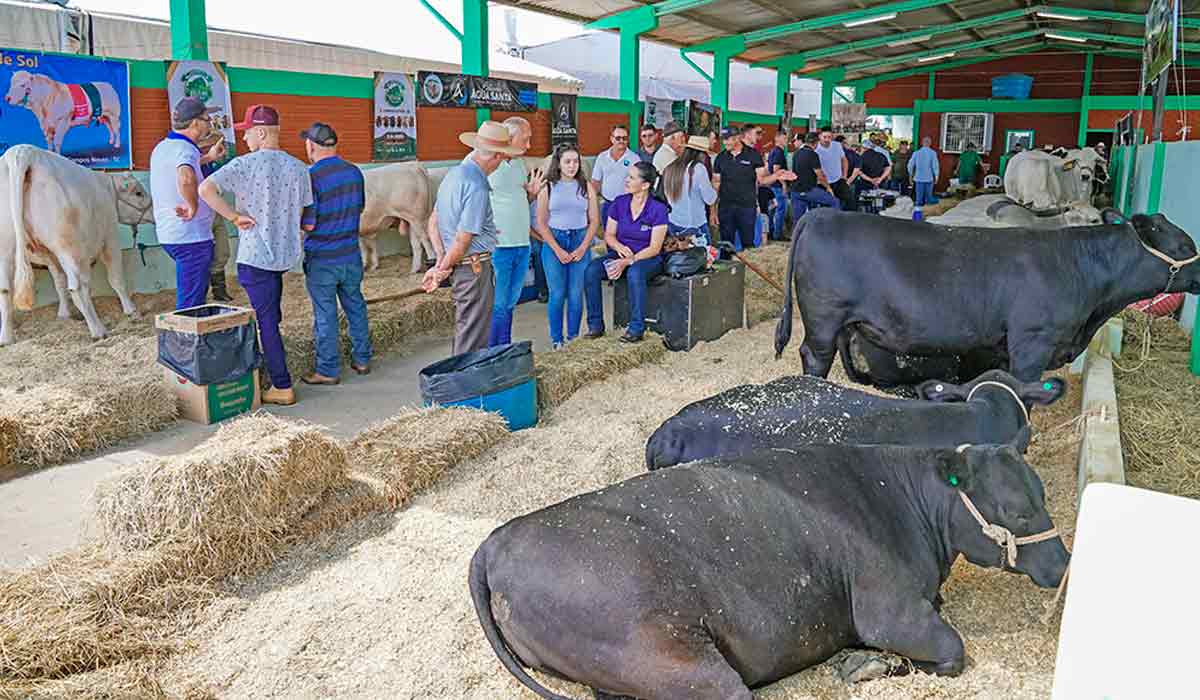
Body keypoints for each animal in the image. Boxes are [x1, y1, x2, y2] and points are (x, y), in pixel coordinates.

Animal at [0, 145, 152, 348]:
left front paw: (64, 315)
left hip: (6, 248)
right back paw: (98, 331)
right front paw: (131, 310)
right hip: (68, 246)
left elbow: (59, 282)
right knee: (78, 288)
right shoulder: (110, 238)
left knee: (5, 290)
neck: (106, 189)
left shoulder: (50, 254)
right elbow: (116, 279)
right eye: (138, 193)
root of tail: (24, 152)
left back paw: (6, 339)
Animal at [468, 444, 1070, 700]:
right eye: (1018, 510)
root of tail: (498, 539)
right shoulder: (888, 605)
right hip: (669, 655)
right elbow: (951, 652)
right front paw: (868, 665)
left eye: (1043, 494)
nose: (1065, 561)